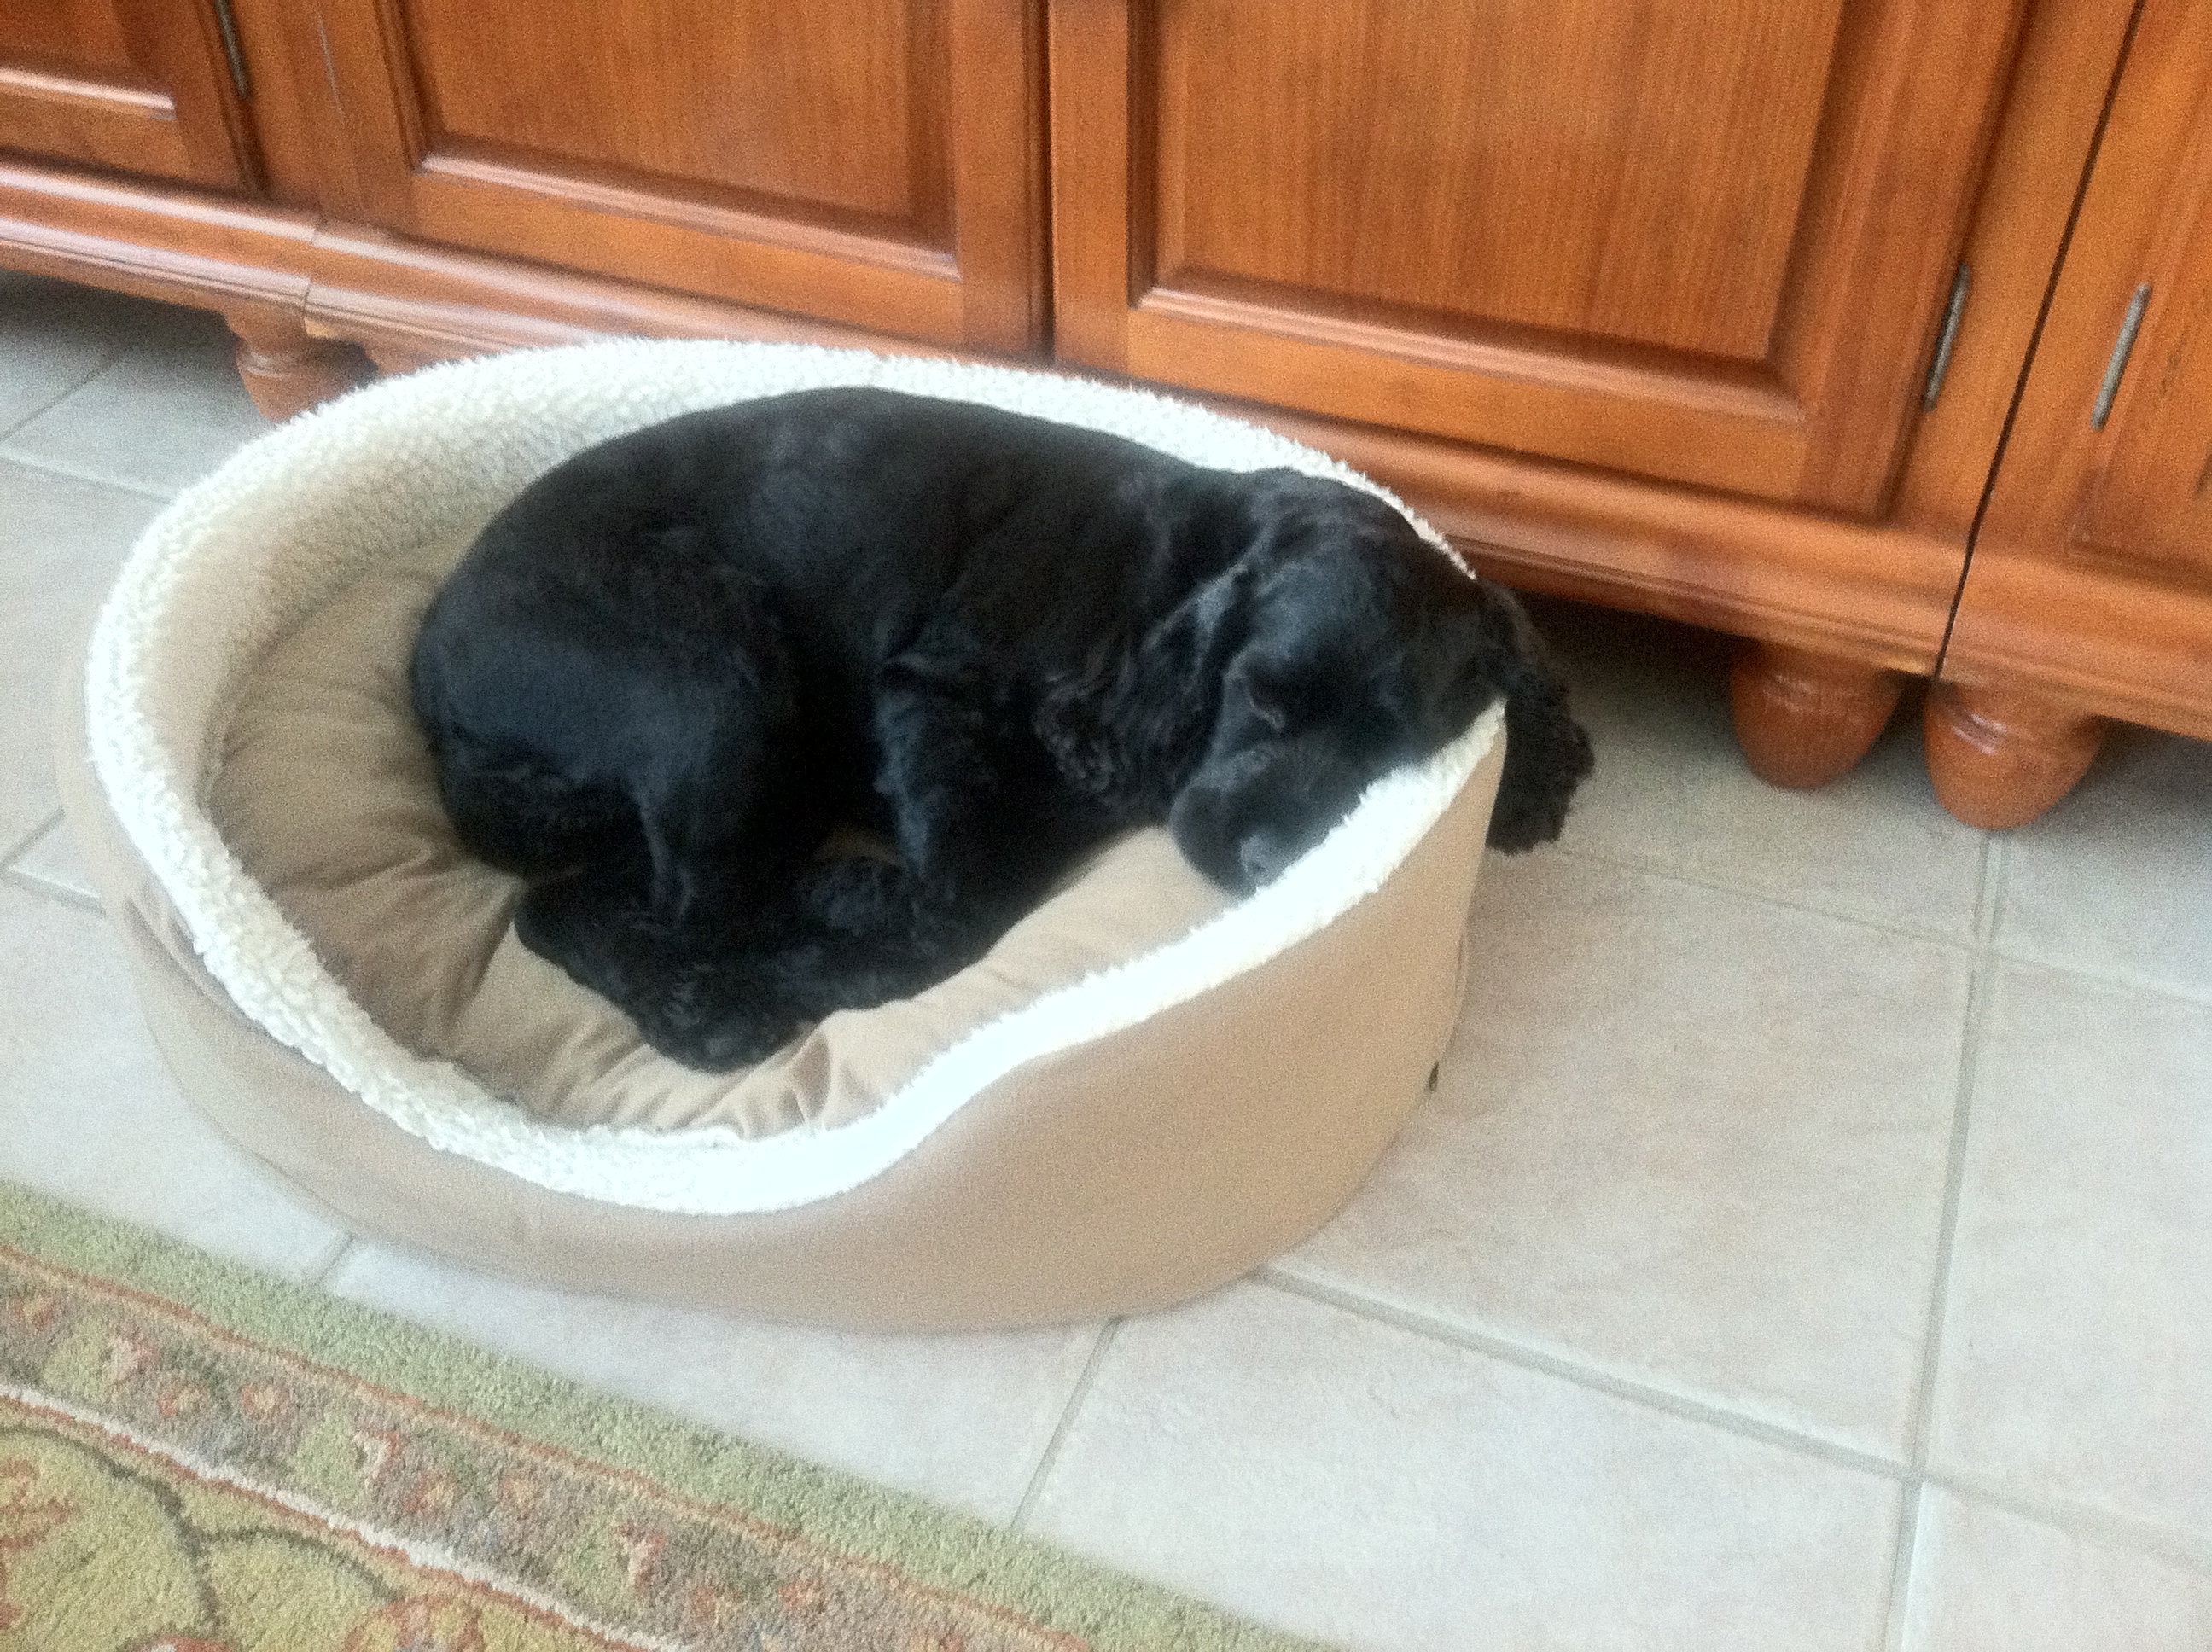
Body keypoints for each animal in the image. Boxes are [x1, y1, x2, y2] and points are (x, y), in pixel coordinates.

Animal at [411, 393, 1592, 1079]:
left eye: (1388, 757)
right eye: (1261, 700)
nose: (1264, 862)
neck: (1177, 583)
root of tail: (427, 661)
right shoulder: (931, 691)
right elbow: (959, 907)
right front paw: (844, 922)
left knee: (588, 902)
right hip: (714, 690)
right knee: (669, 906)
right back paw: (715, 1001)